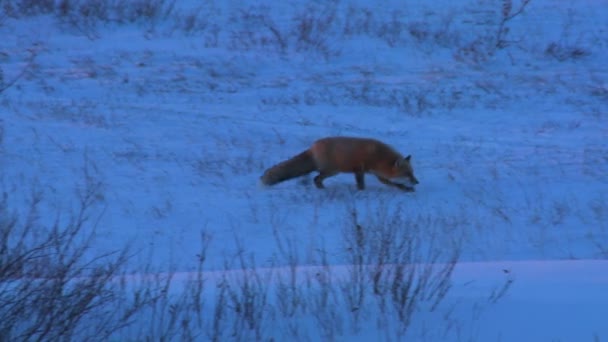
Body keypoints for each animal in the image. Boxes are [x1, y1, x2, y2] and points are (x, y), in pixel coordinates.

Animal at [258, 135, 420, 191]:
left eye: (412, 173)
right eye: (408, 174)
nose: (417, 182)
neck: (379, 157)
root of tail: (313, 147)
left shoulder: (378, 174)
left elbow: (393, 184)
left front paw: (405, 189)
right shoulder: (359, 169)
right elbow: (361, 184)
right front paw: (361, 193)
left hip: (333, 171)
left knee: (316, 179)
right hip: (332, 171)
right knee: (316, 178)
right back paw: (323, 190)